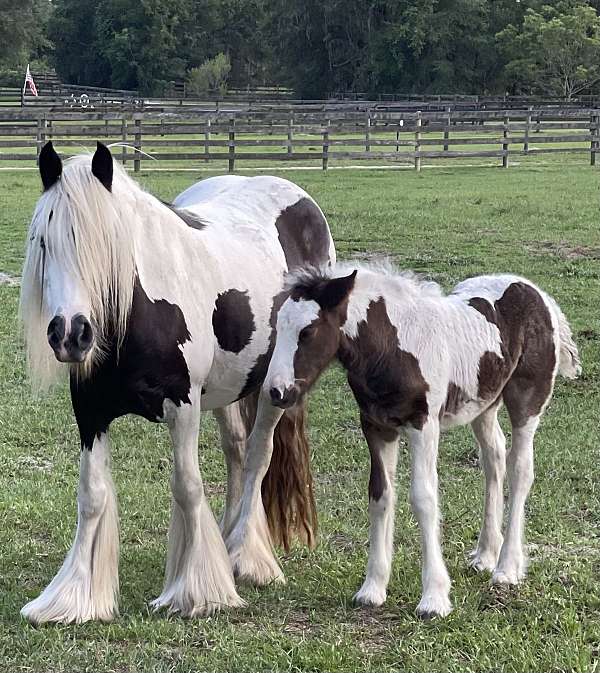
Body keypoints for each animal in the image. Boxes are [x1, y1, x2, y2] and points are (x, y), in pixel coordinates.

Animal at [18, 142, 336, 624]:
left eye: (108, 244)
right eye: (43, 242)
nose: (71, 335)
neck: (138, 310)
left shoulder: (183, 407)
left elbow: (187, 486)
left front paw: (198, 590)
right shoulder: (90, 411)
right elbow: (91, 494)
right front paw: (73, 597)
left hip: (274, 386)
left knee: (257, 456)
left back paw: (246, 556)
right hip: (227, 390)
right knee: (236, 450)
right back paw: (228, 540)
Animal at [260, 262, 580, 616]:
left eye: (307, 332)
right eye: (278, 328)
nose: (275, 391)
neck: (393, 347)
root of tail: (536, 292)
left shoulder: (423, 426)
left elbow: (424, 498)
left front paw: (434, 598)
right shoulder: (376, 426)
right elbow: (380, 495)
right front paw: (372, 588)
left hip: (527, 400)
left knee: (520, 469)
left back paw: (507, 569)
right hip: (483, 404)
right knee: (493, 459)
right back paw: (485, 555)